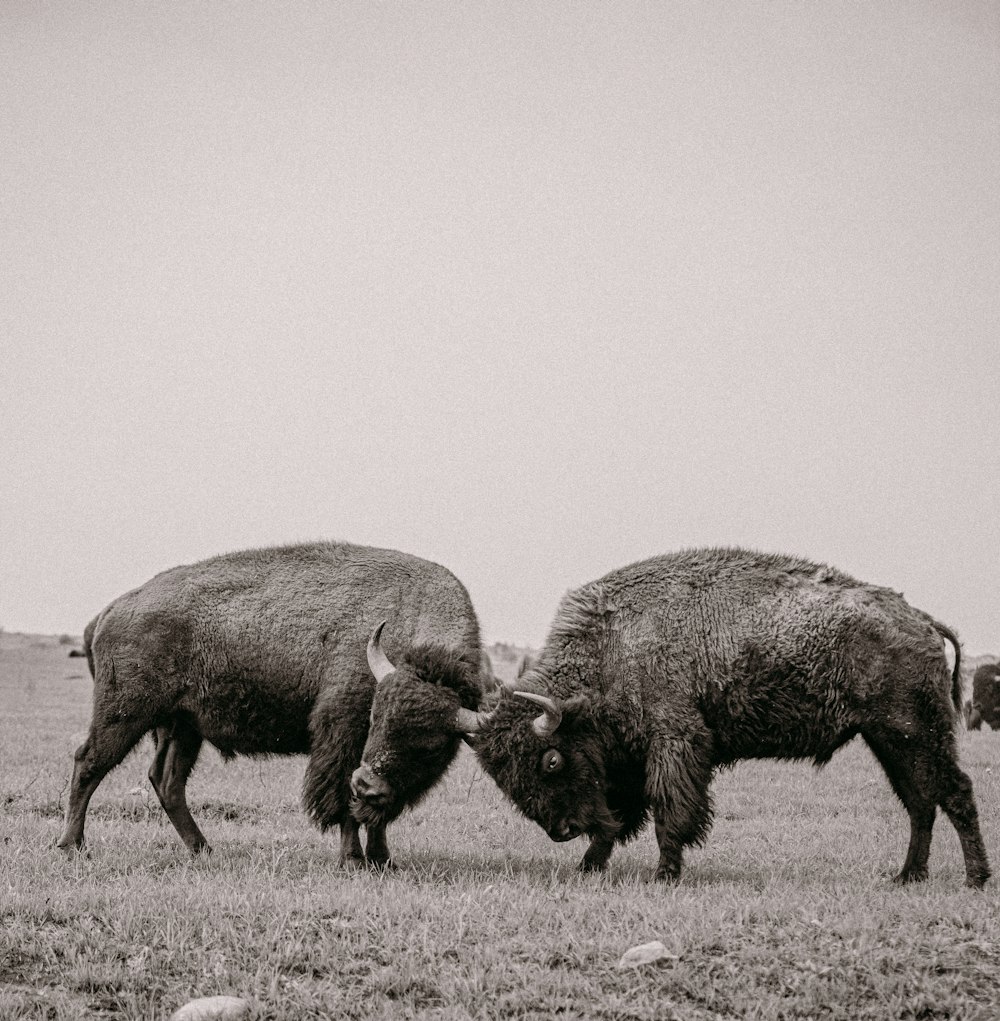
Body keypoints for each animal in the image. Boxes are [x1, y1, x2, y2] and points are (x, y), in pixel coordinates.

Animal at [56, 539, 486, 865]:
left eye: (432, 746)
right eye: (374, 718)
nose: (369, 784)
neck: (406, 617)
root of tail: (110, 611)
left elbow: (378, 816)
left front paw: (383, 860)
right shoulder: (342, 740)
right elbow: (343, 804)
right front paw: (352, 860)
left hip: (181, 726)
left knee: (166, 781)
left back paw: (203, 849)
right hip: (124, 713)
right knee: (89, 763)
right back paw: (72, 845)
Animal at [355, 547, 988, 890]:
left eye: (551, 759)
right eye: (505, 777)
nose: (560, 830)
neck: (614, 647)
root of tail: (920, 618)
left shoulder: (675, 742)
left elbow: (666, 811)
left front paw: (664, 873)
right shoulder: (626, 763)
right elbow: (618, 817)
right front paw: (590, 865)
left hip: (914, 729)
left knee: (953, 791)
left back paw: (975, 879)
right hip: (888, 738)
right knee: (919, 801)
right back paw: (907, 877)